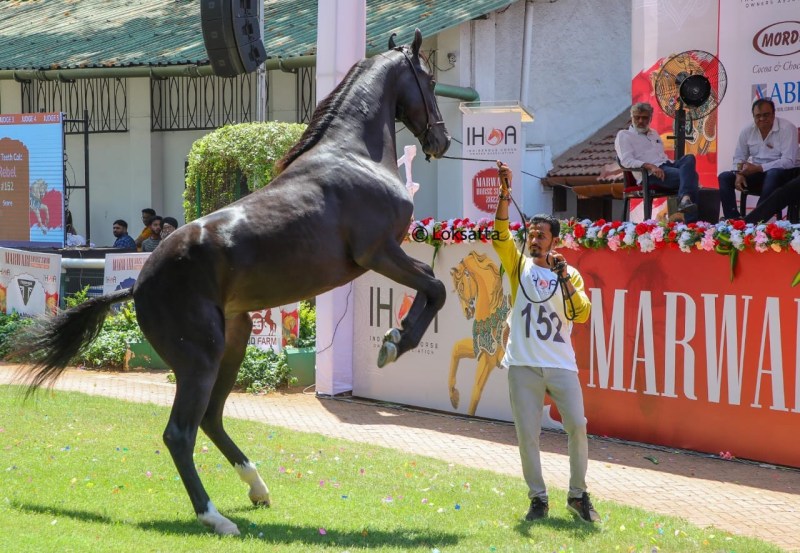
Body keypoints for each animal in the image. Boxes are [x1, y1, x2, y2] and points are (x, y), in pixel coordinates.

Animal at [12, 30, 450, 536]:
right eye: (430, 80)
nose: (442, 139)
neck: (354, 156)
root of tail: (138, 286)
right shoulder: (378, 252)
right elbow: (435, 288)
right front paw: (394, 343)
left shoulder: (383, 254)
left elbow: (432, 287)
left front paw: (394, 340)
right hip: (201, 358)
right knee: (180, 432)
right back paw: (215, 516)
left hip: (233, 343)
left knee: (211, 419)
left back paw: (257, 488)